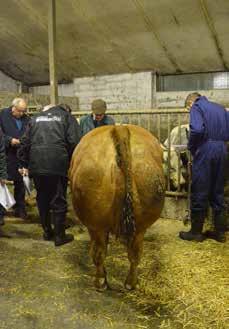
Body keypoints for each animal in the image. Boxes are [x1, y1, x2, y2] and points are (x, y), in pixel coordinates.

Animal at [69, 125, 165, 290]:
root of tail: (120, 128)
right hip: (141, 224)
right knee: (135, 254)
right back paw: (131, 283)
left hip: (96, 224)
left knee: (99, 252)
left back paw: (100, 282)